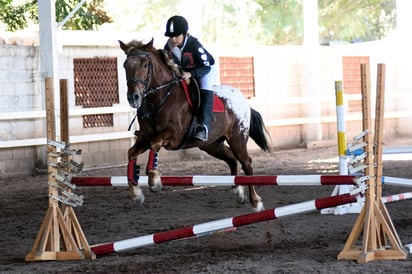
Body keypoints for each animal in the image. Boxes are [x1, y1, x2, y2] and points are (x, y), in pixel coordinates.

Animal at [118, 38, 270, 212]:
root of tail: (243, 99)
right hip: (211, 144)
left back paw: (256, 202)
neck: (161, 98)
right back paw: (238, 192)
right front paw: (136, 194)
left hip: (237, 138)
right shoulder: (145, 137)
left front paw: (154, 180)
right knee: (232, 159)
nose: (133, 97)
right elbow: (131, 153)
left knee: (247, 164)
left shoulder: (174, 135)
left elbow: (155, 144)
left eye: (144, 65)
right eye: (125, 65)